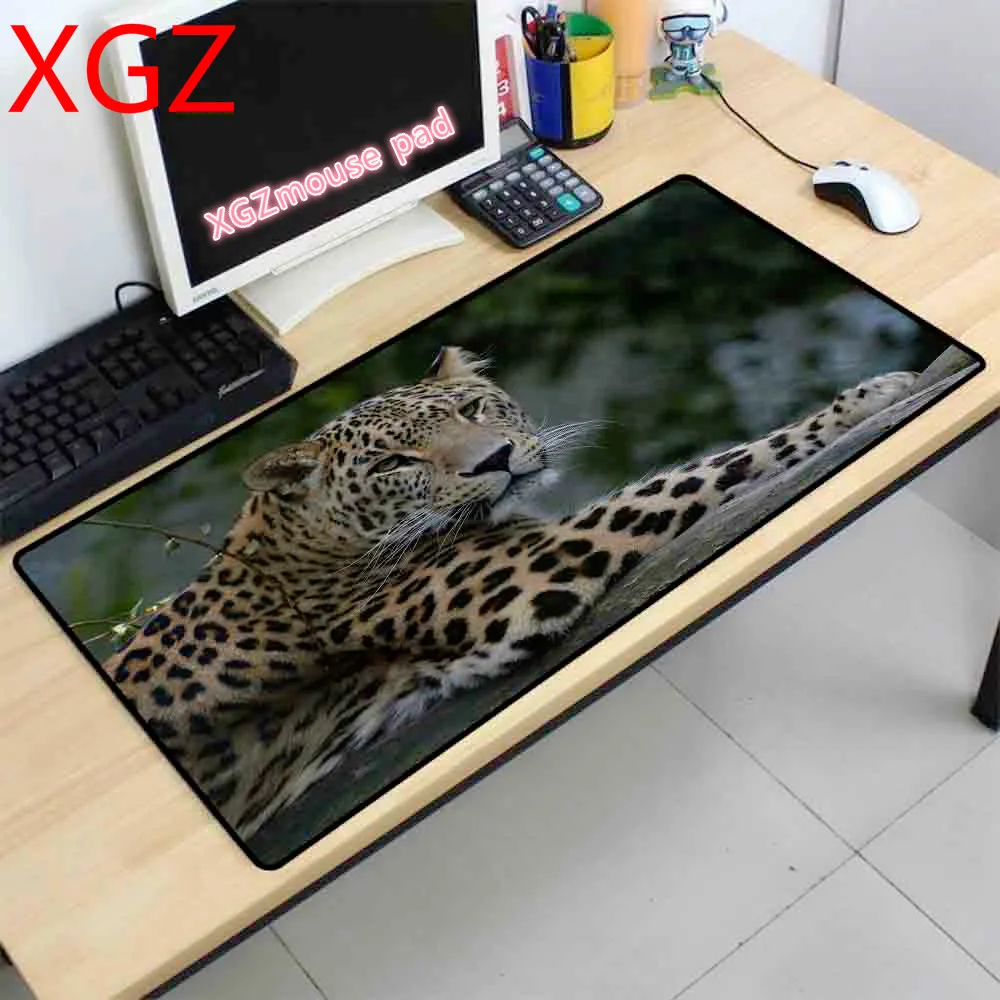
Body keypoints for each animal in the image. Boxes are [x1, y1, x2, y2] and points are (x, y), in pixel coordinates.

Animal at [103, 346, 917, 840]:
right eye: (395, 463)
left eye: (470, 412)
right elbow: (709, 469)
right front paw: (864, 397)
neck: (298, 542)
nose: (493, 460)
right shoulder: (545, 565)